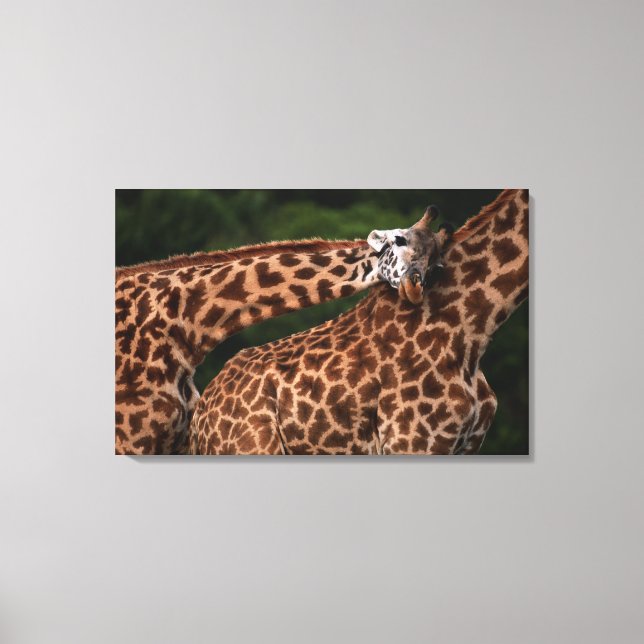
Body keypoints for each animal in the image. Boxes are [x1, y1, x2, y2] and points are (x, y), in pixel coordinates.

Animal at [189, 189, 528, 455]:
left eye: (439, 264)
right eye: (399, 239)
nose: (413, 286)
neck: (475, 331)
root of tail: (199, 420)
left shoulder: (466, 444)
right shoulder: (413, 441)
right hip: (250, 446)